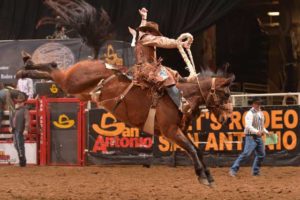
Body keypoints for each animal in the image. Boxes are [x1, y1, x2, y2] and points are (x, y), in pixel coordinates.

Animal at [17, 55, 234, 186]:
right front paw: (202, 176)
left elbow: (197, 149)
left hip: (78, 91)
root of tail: (92, 62)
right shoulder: (170, 131)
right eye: (225, 94)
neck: (181, 96)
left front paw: (209, 175)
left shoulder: (181, 131)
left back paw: (26, 68)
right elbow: (191, 150)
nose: (226, 118)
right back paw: (25, 69)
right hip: (71, 83)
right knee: (54, 70)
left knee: (53, 70)